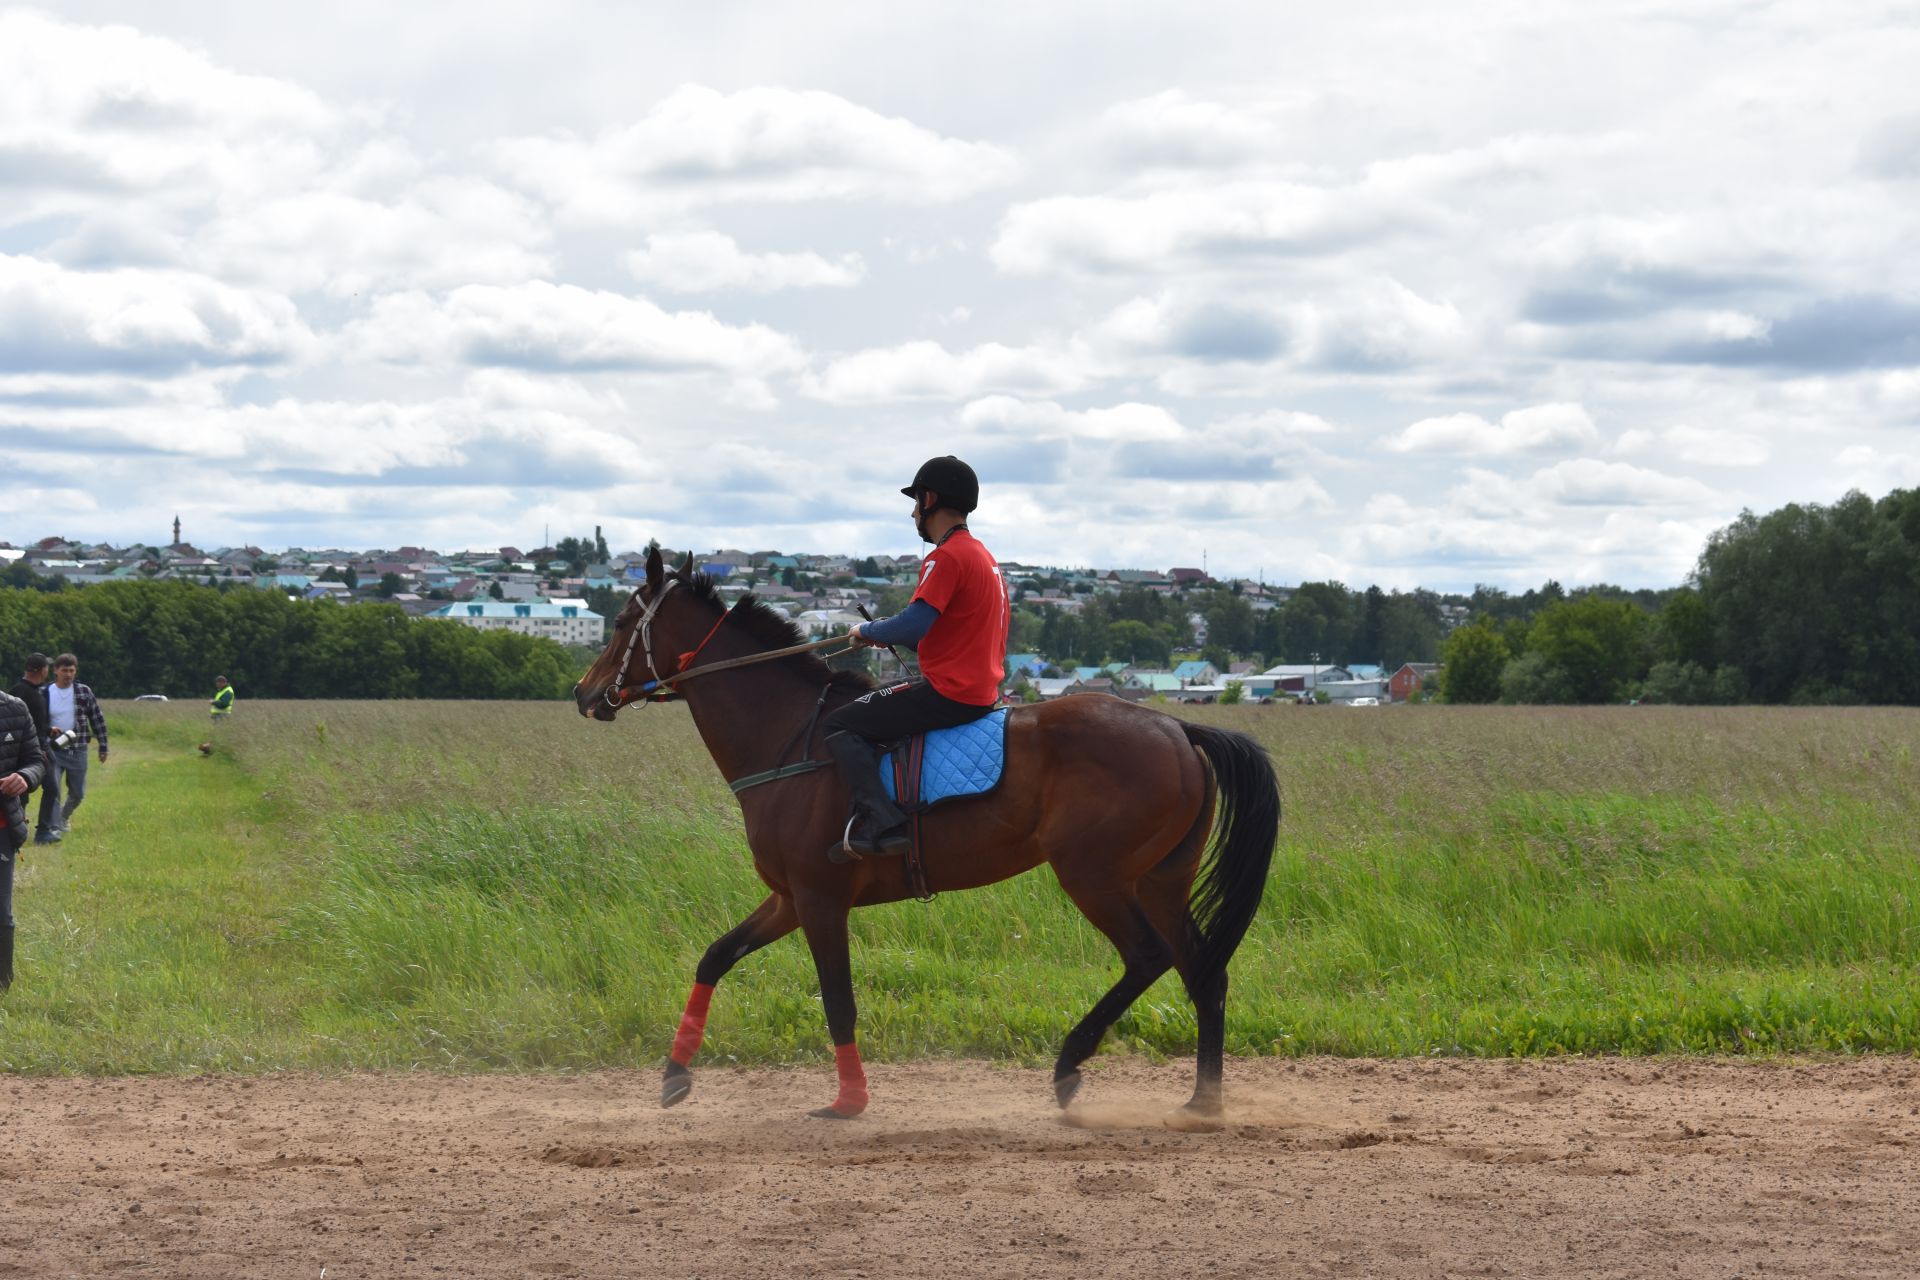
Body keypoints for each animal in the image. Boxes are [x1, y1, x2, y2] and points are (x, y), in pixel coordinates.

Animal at [576, 552, 1282, 1120]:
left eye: (622, 622)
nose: (584, 694)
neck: (792, 738)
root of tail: (1178, 729)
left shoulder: (820, 899)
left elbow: (838, 1000)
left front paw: (849, 1101)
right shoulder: (788, 898)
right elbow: (716, 957)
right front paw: (674, 1076)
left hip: (1094, 875)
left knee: (1147, 957)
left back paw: (1069, 1067)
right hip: (1161, 880)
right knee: (1204, 972)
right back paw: (1202, 1100)